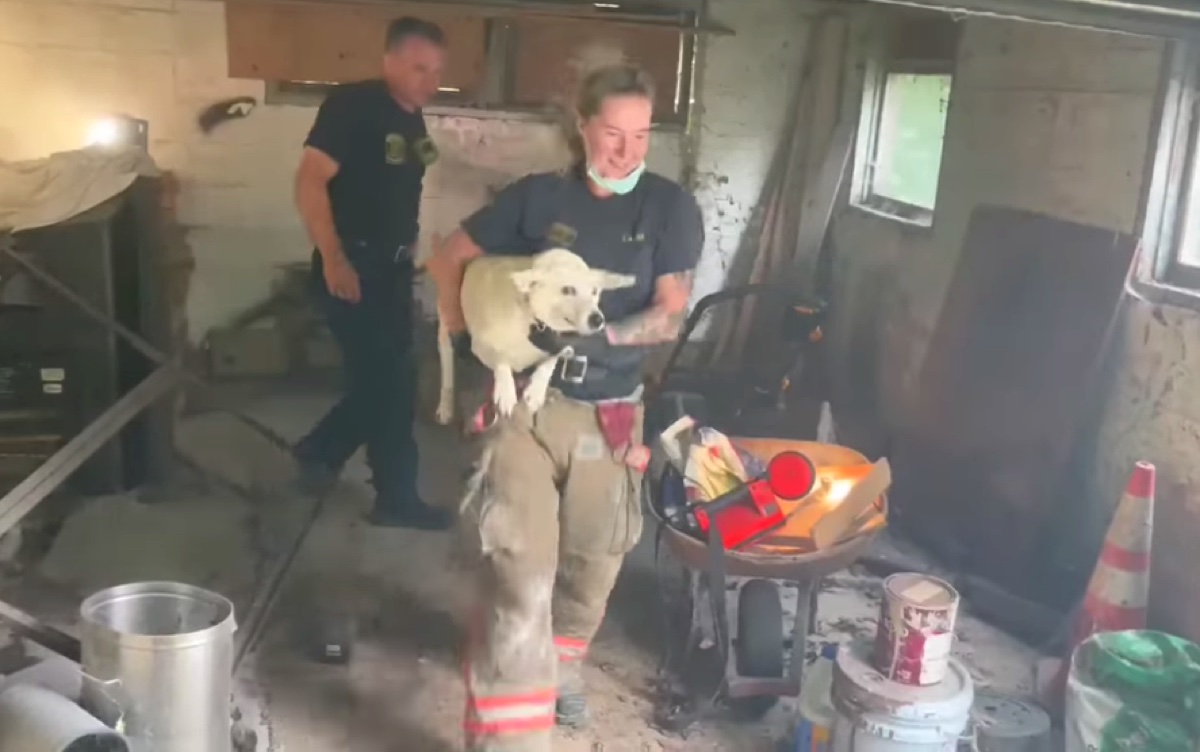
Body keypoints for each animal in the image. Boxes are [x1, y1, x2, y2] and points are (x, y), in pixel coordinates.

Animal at [434, 247, 638, 424]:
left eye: (595, 291)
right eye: (568, 290)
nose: (598, 319)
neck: (534, 320)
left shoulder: (559, 344)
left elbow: (550, 362)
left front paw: (536, 390)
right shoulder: (480, 346)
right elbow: (501, 359)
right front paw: (506, 391)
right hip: (447, 333)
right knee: (447, 375)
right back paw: (446, 406)